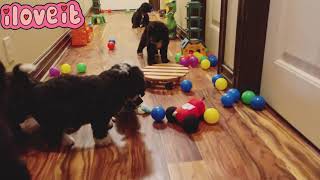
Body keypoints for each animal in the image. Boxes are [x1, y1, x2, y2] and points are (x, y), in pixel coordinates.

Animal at [7, 62, 145, 147]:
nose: (141, 101)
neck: (115, 82)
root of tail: (33, 86)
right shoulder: (99, 116)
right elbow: (99, 128)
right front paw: (104, 141)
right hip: (50, 116)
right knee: (52, 130)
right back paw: (66, 140)